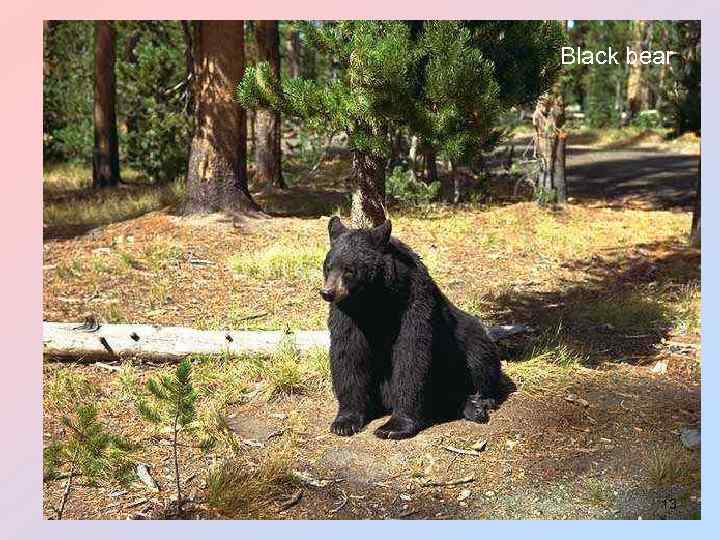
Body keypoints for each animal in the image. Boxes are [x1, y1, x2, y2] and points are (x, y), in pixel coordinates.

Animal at [320, 216, 502, 440]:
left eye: (349, 270)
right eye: (328, 267)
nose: (328, 292)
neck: (374, 298)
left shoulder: (414, 302)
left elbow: (412, 353)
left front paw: (393, 426)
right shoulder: (347, 312)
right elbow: (348, 352)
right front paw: (345, 421)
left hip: (468, 336)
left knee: (480, 357)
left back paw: (481, 401)